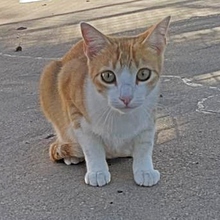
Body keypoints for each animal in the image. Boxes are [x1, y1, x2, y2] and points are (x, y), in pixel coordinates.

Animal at [39, 16, 170, 186]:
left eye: (143, 74)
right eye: (108, 76)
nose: (126, 98)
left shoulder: (150, 110)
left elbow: (145, 142)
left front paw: (144, 169)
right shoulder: (71, 95)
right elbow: (91, 145)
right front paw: (97, 171)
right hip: (49, 74)